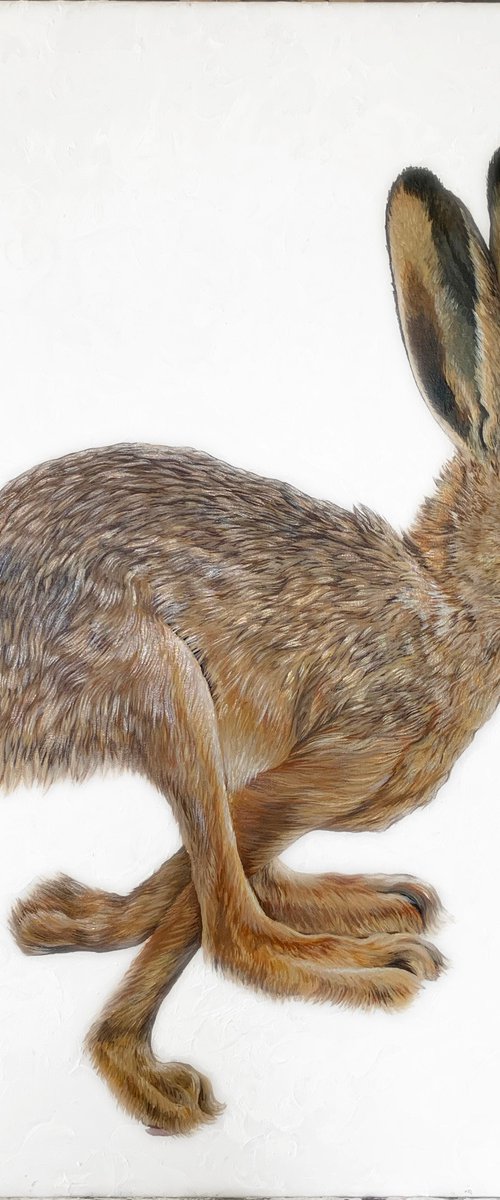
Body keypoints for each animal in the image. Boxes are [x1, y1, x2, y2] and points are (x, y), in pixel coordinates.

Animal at [4, 145, 500, 1137]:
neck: (451, 608)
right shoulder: (325, 764)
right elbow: (205, 908)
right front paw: (135, 1071)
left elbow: (179, 888)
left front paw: (66, 922)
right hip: (156, 684)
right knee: (231, 925)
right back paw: (366, 969)